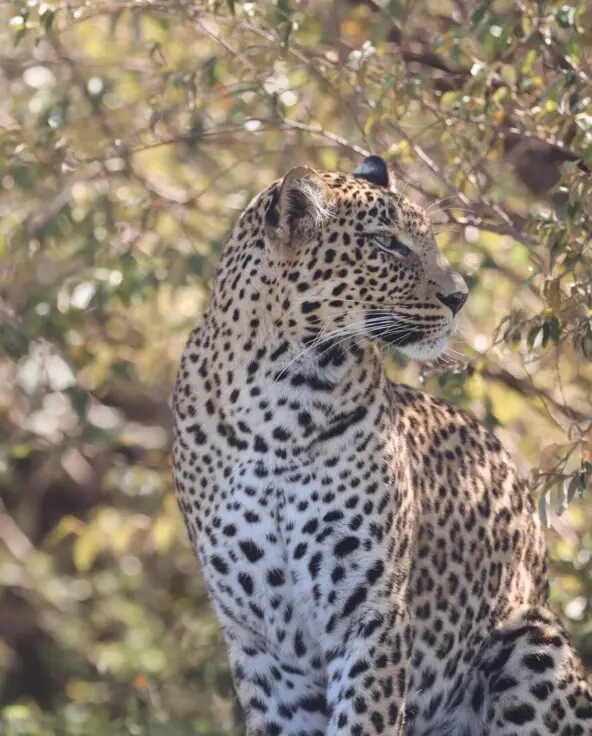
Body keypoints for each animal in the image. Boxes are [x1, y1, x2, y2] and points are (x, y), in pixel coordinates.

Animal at [172, 155, 592, 736]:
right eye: (387, 244)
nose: (460, 297)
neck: (279, 402)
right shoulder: (263, 644)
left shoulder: (370, 613)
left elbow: (362, 719)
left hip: (534, 644)